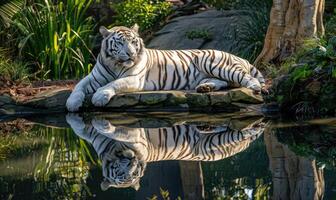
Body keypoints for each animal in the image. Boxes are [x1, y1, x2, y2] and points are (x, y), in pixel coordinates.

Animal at [65, 24, 266, 111]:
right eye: (120, 43)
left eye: (133, 42)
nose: (131, 54)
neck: (115, 63)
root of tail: (237, 56)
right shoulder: (93, 77)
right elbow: (78, 86)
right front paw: (72, 104)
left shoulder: (134, 79)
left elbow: (112, 84)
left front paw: (99, 97)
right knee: (223, 82)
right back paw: (204, 88)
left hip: (214, 63)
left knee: (244, 77)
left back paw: (255, 87)